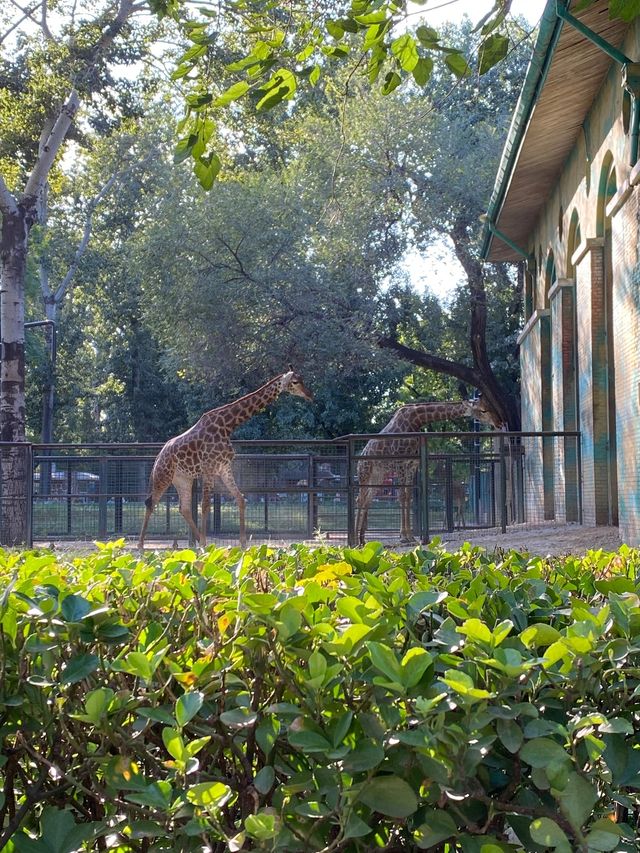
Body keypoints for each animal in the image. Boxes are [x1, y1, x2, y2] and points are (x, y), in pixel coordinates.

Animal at [138, 370, 312, 548]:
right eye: (295, 382)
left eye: (302, 379)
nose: (310, 395)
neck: (228, 425)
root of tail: (158, 456)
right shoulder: (209, 469)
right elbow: (205, 505)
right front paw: (204, 546)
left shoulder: (224, 468)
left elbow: (240, 499)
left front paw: (243, 545)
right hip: (163, 476)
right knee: (150, 502)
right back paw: (141, 546)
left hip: (182, 479)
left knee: (184, 508)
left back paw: (199, 540)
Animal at [352, 396, 502, 544]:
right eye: (483, 410)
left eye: (489, 407)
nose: (499, 423)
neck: (416, 420)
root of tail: (360, 459)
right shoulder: (400, 463)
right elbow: (402, 497)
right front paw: (404, 537)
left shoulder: (412, 464)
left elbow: (408, 497)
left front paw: (409, 536)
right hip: (365, 474)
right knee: (360, 499)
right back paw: (355, 540)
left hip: (378, 476)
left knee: (367, 500)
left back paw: (363, 539)